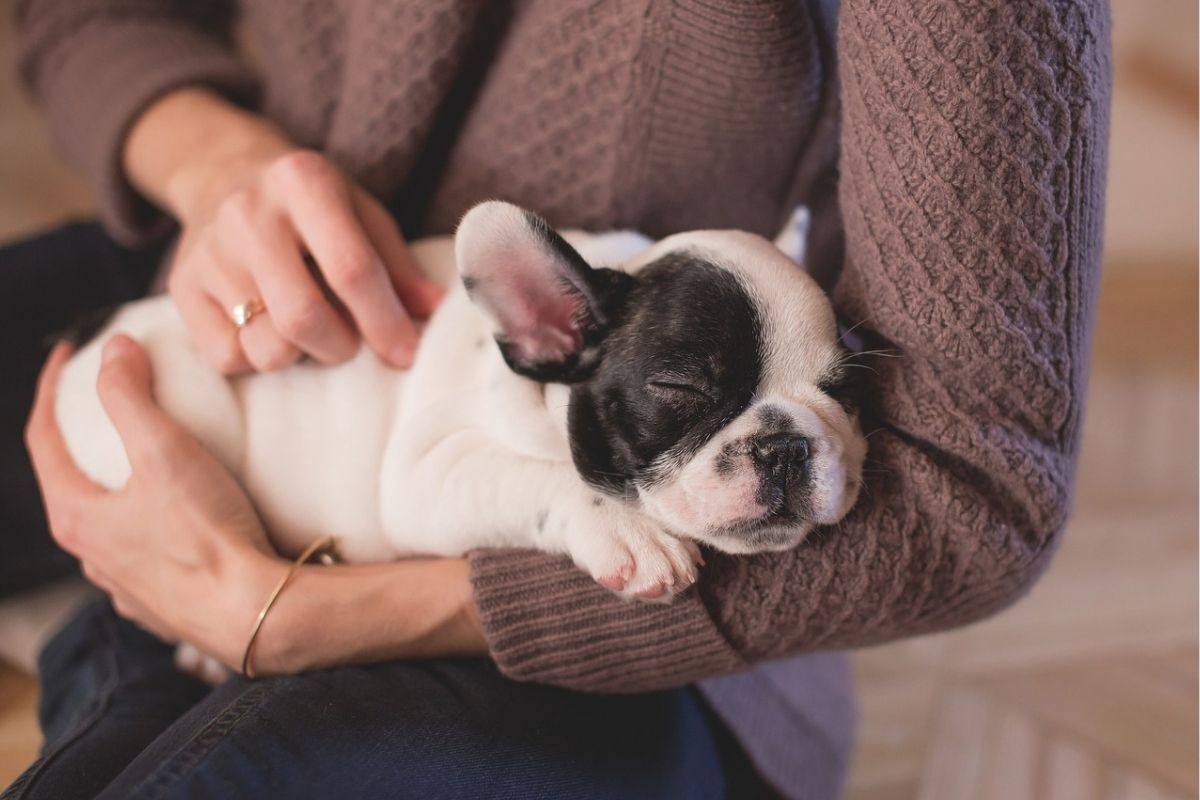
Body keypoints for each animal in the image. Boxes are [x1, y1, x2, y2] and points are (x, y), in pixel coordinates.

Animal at [56, 199, 868, 606]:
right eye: (680, 389)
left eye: (844, 390)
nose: (786, 445)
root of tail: (89, 334)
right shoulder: (426, 471)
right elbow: (544, 477)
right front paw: (630, 533)